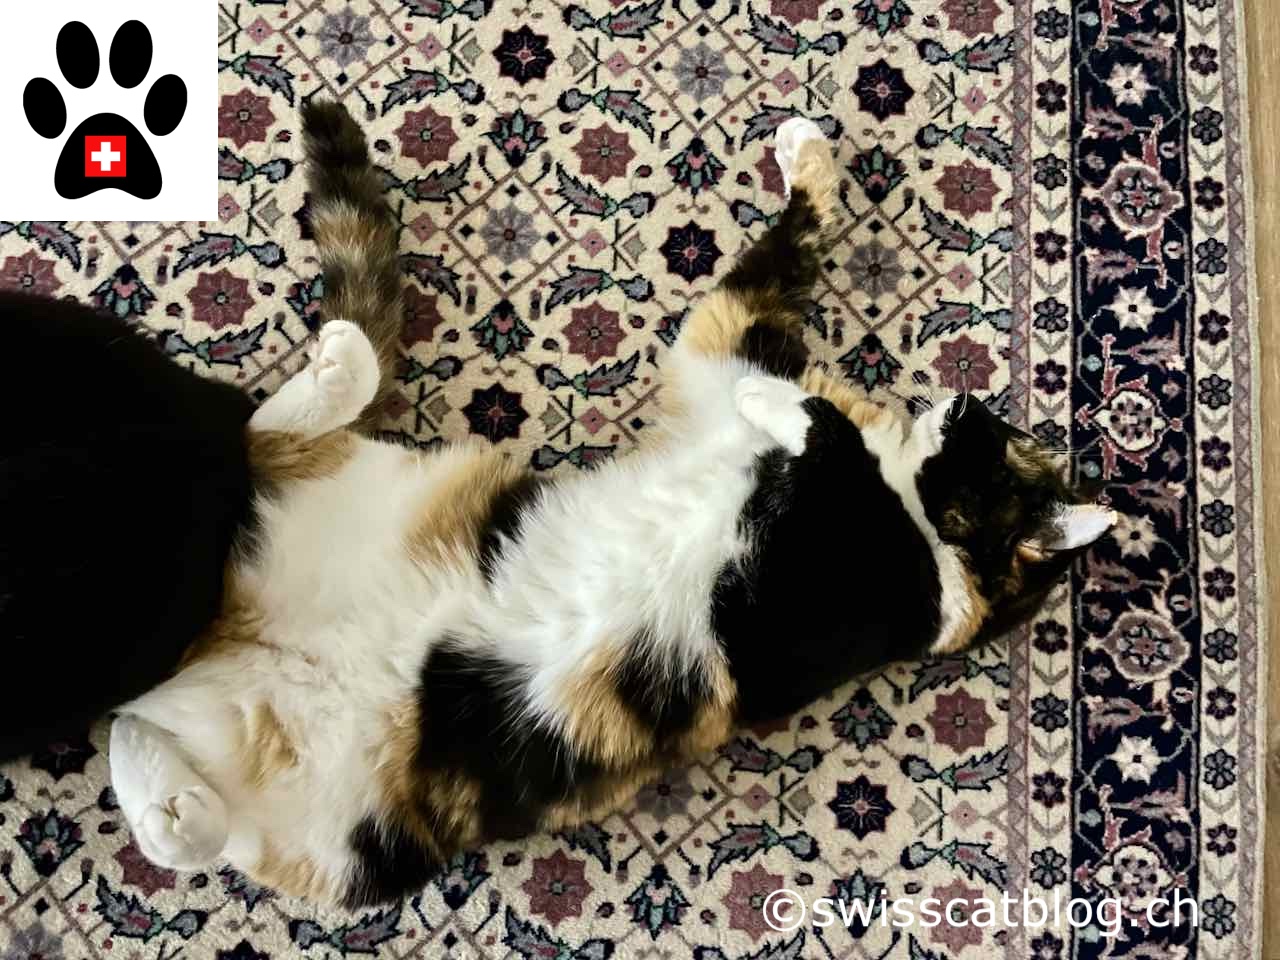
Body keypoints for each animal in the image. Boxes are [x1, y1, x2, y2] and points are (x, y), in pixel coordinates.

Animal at [108, 116, 1115, 909]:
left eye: (990, 441)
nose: (965, 400)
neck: (916, 516)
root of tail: (230, 637)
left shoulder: (806, 556)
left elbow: (816, 426)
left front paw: (783, 410)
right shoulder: (722, 347)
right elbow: (785, 260)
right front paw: (808, 155)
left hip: (360, 844)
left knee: (186, 797)